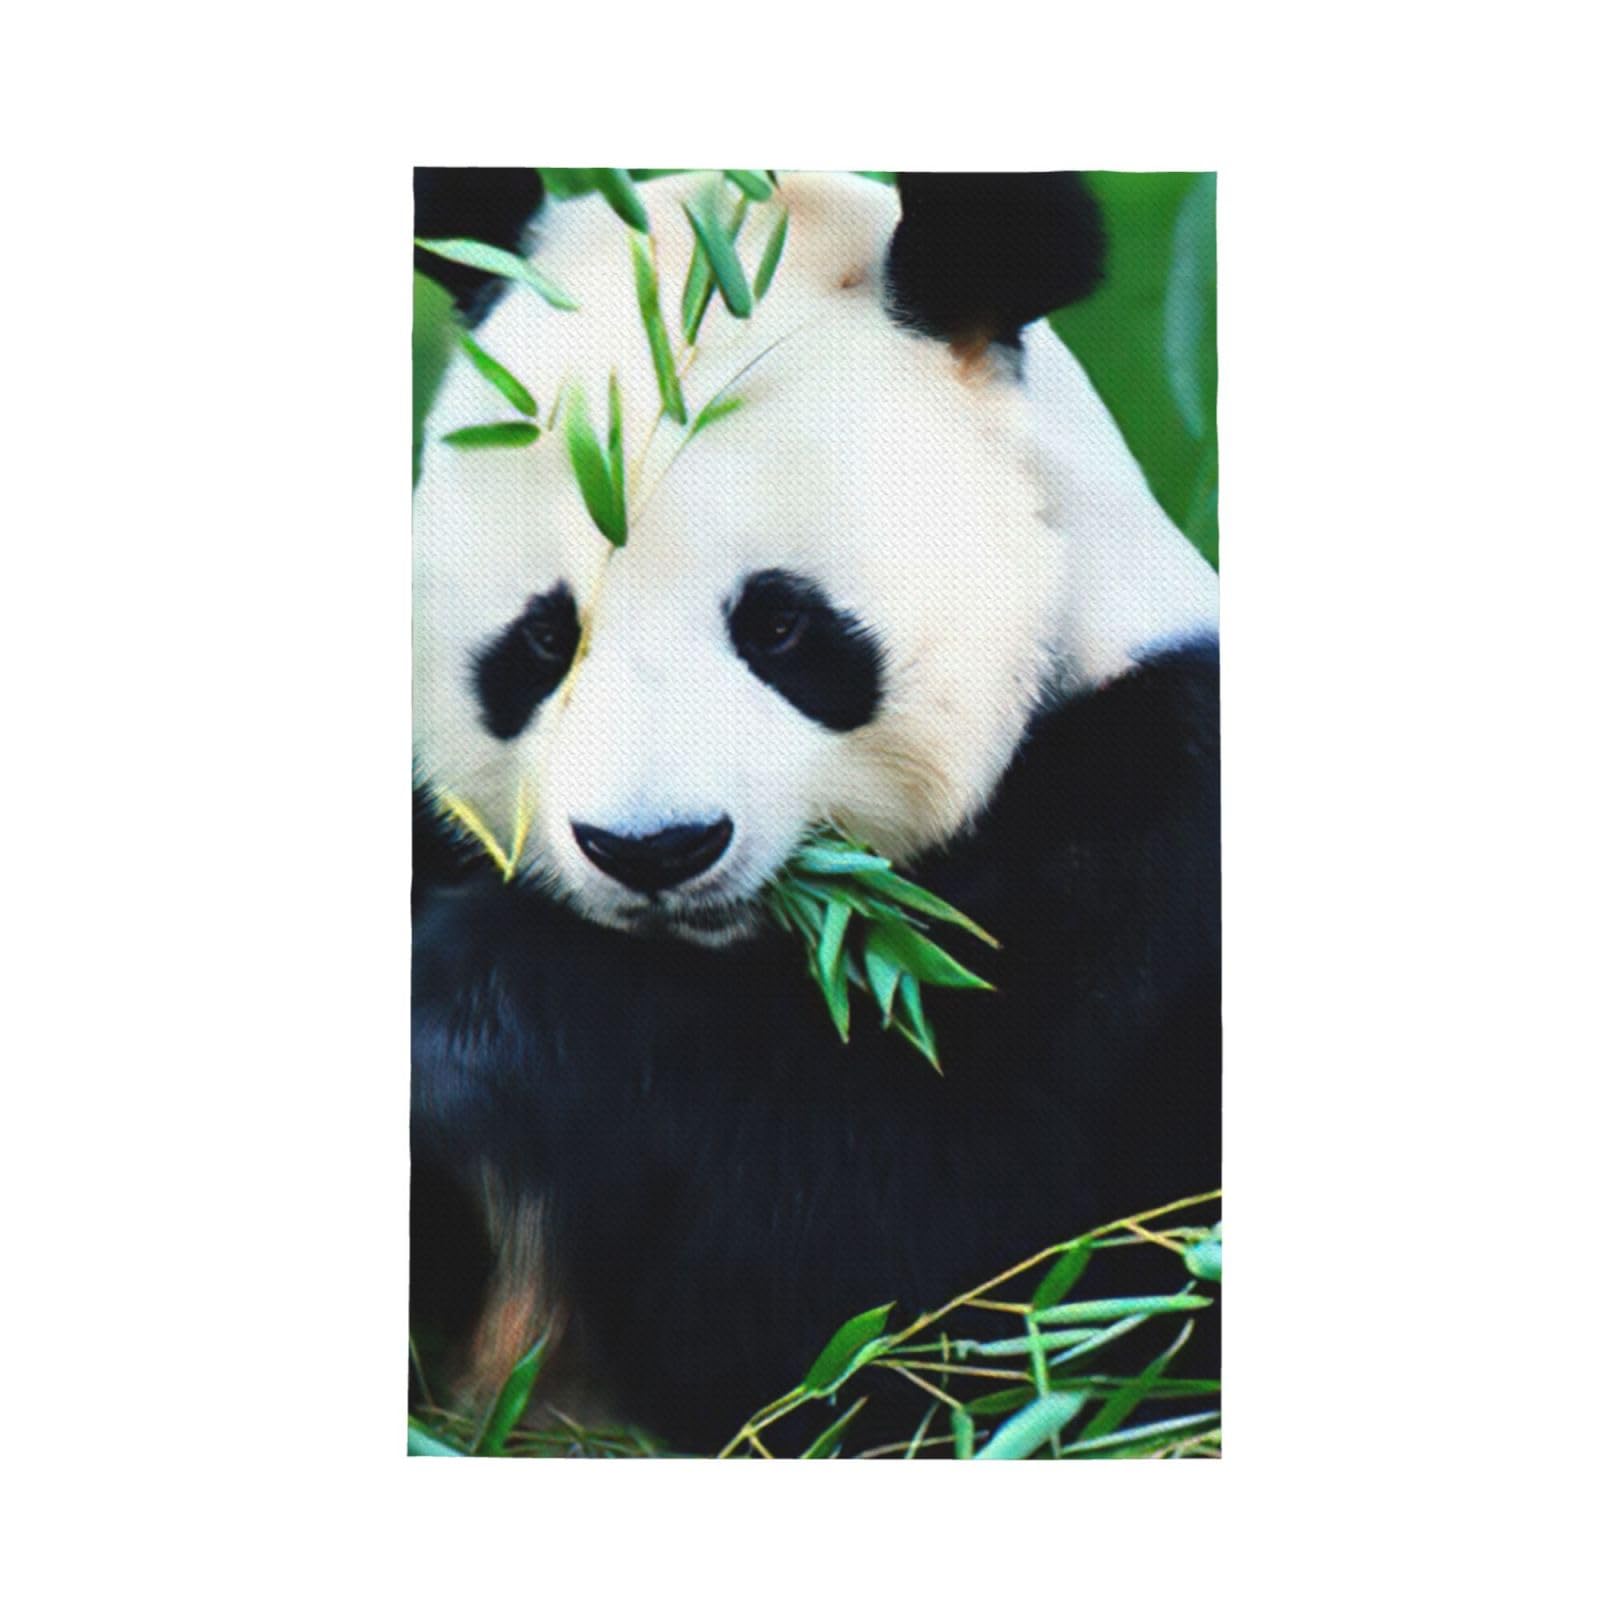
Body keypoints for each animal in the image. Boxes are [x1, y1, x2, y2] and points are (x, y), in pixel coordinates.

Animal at [411, 170, 1220, 1454]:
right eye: (544, 638)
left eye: (781, 625)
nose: (655, 849)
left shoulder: (1150, 834)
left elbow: (939, 1286)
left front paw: (476, 1001)